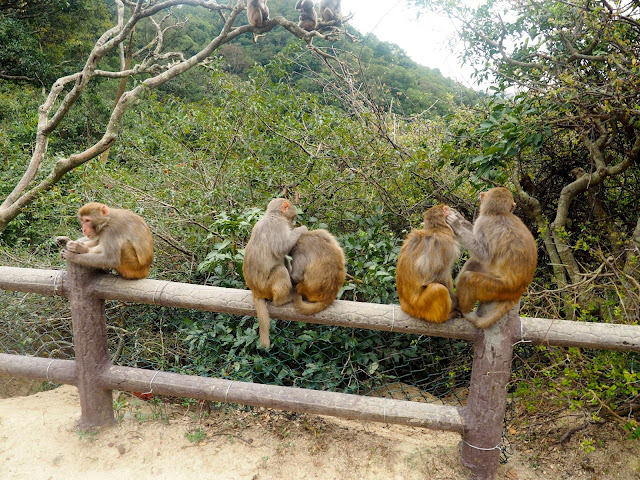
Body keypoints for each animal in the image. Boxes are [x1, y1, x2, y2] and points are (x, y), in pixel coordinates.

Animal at [242, 198, 308, 348]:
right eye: (292, 218)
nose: (292, 225)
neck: (273, 215)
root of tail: (255, 290)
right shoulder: (279, 225)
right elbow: (281, 248)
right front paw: (302, 229)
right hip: (266, 287)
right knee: (280, 270)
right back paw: (282, 300)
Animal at [444, 186, 540, 328]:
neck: (499, 213)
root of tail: (520, 289)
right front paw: (459, 217)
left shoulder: (482, 222)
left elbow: (484, 254)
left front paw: (456, 225)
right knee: (475, 262)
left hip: (498, 288)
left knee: (469, 277)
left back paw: (461, 309)